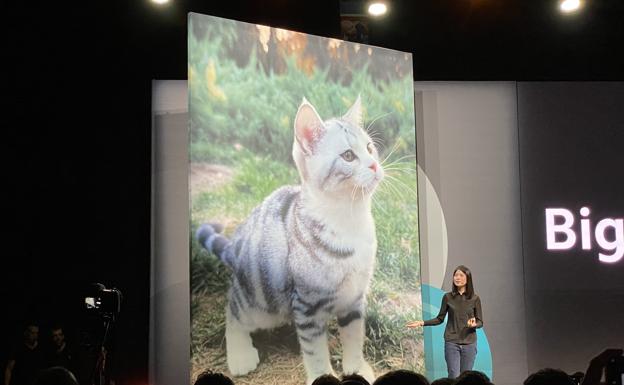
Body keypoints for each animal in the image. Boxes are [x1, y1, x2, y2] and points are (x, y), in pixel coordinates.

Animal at [197, 96, 382, 384]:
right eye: (348, 156)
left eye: (370, 148)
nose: (374, 165)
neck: (350, 220)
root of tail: (238, 246)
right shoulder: (307, 306)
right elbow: (315, 350)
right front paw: (323, 376)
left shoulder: (354, 296)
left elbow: (354, 334)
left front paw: (356, 368)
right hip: (261, 302)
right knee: (233, 310)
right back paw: (239, 355)